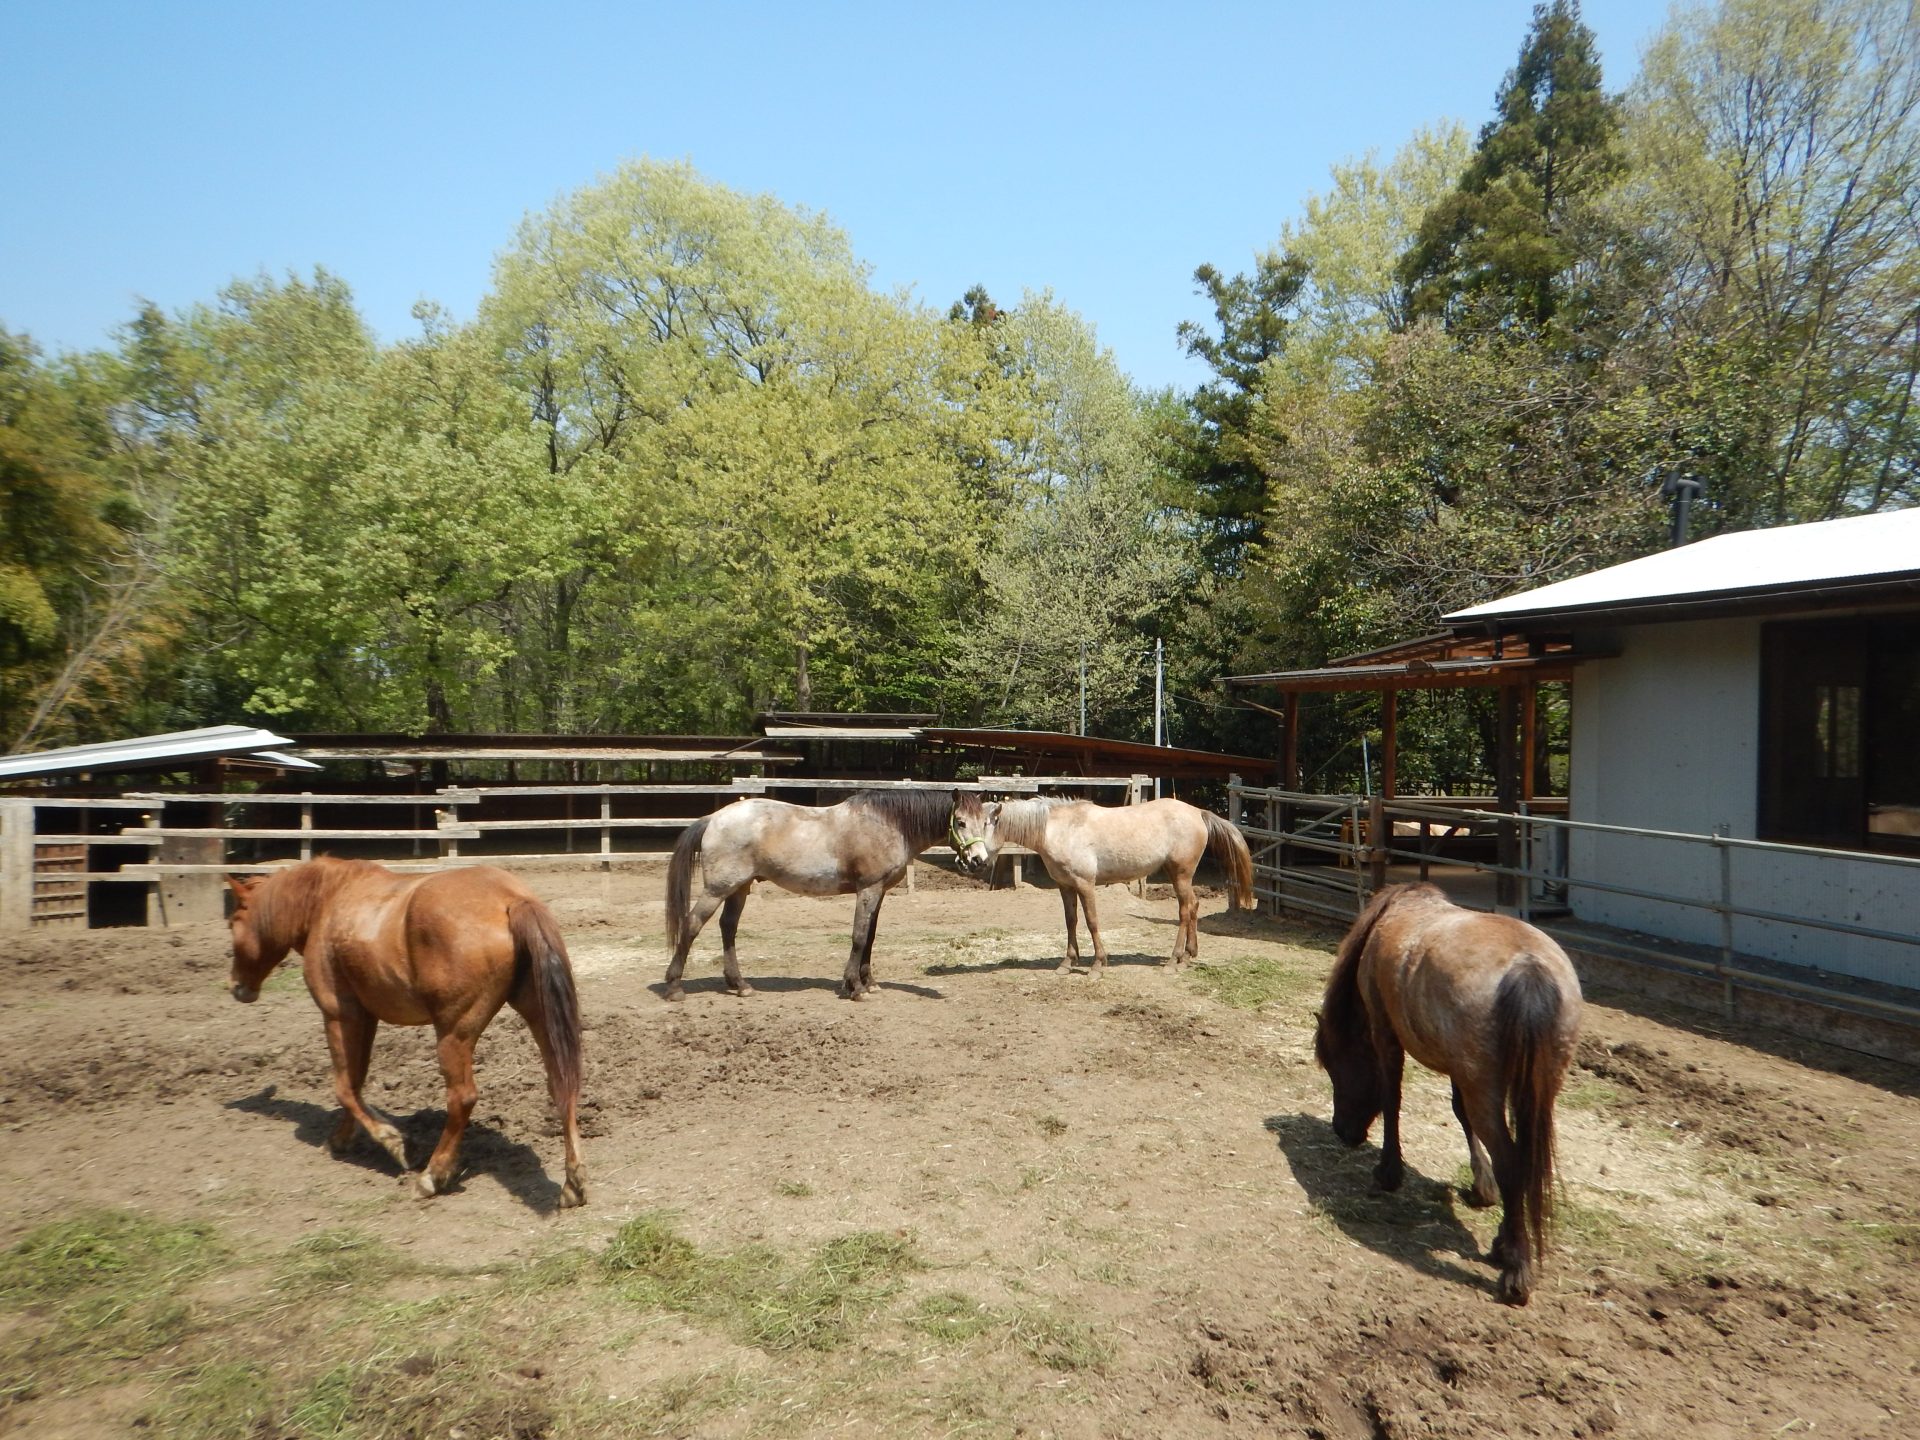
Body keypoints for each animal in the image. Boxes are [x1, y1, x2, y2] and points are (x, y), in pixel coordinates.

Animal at [226, 864, 583, 1213]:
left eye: (234, 922)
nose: (236, 987)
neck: (325, 901)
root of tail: (510, 899)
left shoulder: (339, 1014)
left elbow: (344, 1087)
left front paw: (394, 1141)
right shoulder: (366, 1016)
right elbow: (355, 1082)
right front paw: (341, 1138)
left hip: (454, 1034)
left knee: (462, 1098)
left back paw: (432, 1176)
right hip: (539, 1016)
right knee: (561, 1086)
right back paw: (573, 1183)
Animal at [664, 791, 990, 1006]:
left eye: (985, 823)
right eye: (960, 822)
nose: (979, 861)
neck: (887, 824)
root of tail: (714, 818)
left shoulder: (879, 892)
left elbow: (870, 937)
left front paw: (869, 983)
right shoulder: (868, 889)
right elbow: (859, 936)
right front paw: (855, 987)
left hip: (739, 888)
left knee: (728, 928)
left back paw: (740, 985)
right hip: (718, 889)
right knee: (692, 924)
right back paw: (674, 986)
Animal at [967, 794, 1251, 975]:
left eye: (985, 824)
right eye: (962, 823)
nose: (974, 861)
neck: (1060, 828)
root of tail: (1198, 813)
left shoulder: (1085, 885)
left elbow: (1092, 921)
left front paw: (1097, 965)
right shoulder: (1065, 886)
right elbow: (1071, 921)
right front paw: (1067, 963)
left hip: (1181, 874)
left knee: (1184, 911)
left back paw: (1173, 961)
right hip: (1179, 875)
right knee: (1193, 906)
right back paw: (1187, 957)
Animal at [1313, 887, 1582, 1305]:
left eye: (1335, 1065)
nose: (1342, 1131)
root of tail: (1528, 968)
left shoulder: (1385, 1033)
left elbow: (1393, 1099)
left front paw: (1389, 1172)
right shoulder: (1461, 1070)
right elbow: (1459, 1114)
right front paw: (1481, 1186)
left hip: (1485, 1088)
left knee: (1511, 1163)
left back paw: (1516, 1268)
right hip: (1535, 1090)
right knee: (1523, 1162)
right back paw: (1506, 1243)